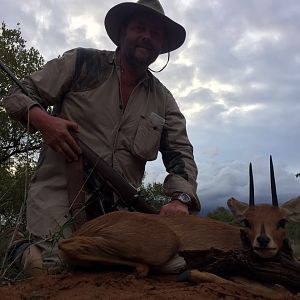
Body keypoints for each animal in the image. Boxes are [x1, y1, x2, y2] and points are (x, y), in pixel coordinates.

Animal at [58, 157, 300, 278]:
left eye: (282, 221)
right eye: (247, 221)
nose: (263, 241)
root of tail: (91, 225)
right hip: (162, 245)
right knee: (67, 245)